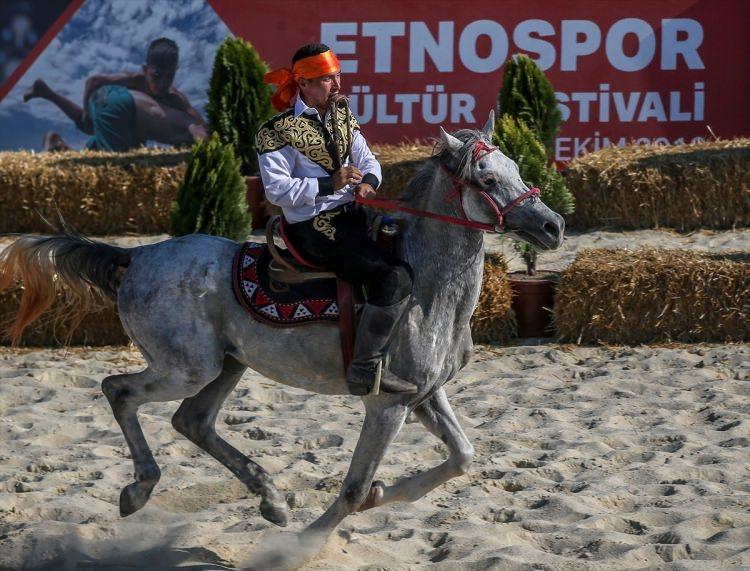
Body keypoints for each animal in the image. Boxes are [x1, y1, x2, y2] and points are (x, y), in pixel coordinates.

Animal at [0, 110, 564, 544]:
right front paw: (311, 539)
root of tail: (136, 256)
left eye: (515, 167)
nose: (552, 225)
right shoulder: (387, 404)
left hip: (227, 366)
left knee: (192, 421)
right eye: (487, 180)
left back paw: (269, 498)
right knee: (118, 390)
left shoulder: (425, 395)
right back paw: (140, 489)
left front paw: (387, 494)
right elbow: (353, 488)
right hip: (186, 368)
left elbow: (463, 456)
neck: (427, 289)